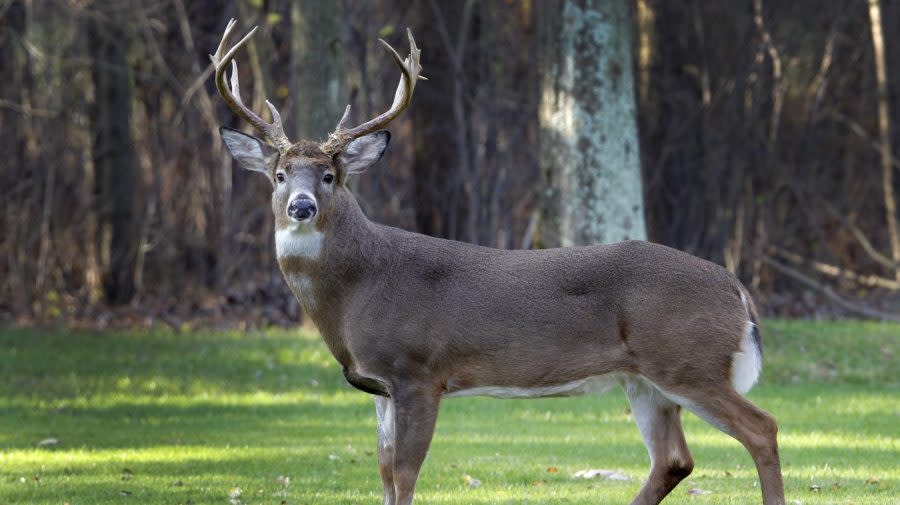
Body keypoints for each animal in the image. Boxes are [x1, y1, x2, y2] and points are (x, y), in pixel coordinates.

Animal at [213, 19, 788, 504]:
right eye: (280, 175)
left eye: (330, 176)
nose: (301, 207)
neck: (358, 287)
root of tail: (737, 290)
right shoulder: (379, 385)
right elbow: (383, 472)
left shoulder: (420, 370)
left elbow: (404, 474)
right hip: (645, 379)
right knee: (673, 460)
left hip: (687, 360)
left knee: (762, 428)